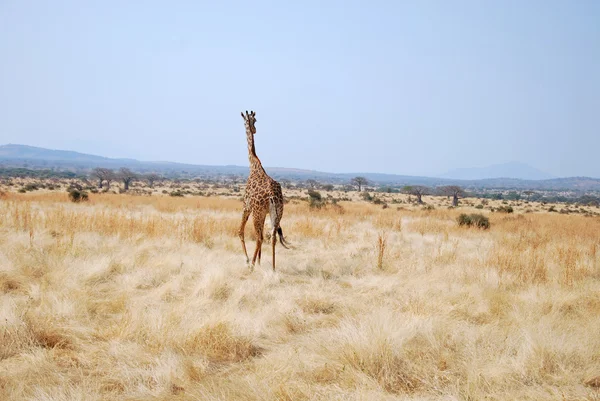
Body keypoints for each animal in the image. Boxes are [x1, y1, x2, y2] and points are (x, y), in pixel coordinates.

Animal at [238, 111, 290, 270]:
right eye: (254, 120)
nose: (254, 129)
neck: (254, 164)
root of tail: (272, 195)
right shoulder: (265, 212)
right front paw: (260, 262)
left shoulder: (246, 206)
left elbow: (240, 231)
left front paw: (248, 260)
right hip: (277, 212)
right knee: (272, 237)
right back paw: (273, 268)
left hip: (257, 213)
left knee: (259, 237)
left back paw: (252, 265)